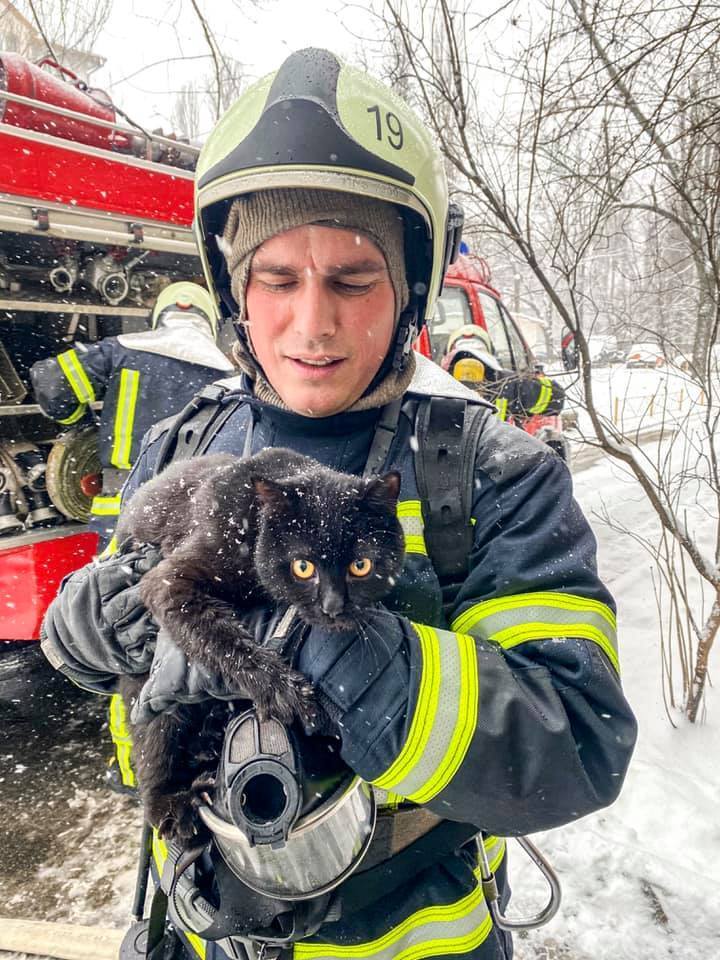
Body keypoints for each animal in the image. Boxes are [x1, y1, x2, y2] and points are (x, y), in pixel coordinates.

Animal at [115, 446, 402, 836]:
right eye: (303, 567)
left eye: (361, 566)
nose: (332, 607)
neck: (250, 530)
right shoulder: (168, 582)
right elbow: (222, 638)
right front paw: (283, 690)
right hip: (149, 696)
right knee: (150, 744)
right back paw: (170, 803)